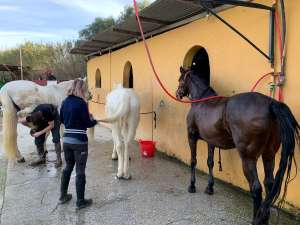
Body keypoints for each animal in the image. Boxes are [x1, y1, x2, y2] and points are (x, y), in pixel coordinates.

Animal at [175, 67, 298, 225]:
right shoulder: (211, 141)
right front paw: (210, 187)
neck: (201, 101)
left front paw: (192, 186)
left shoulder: (191, 137)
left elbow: (193, 161)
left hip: (248, 159)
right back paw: (264, 218)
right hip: (269, 155)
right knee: (269, 184)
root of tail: (270, 104)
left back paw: (256, 219)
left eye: (180, 79)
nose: (177, 93)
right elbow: (210, 162)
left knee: (256, 188)